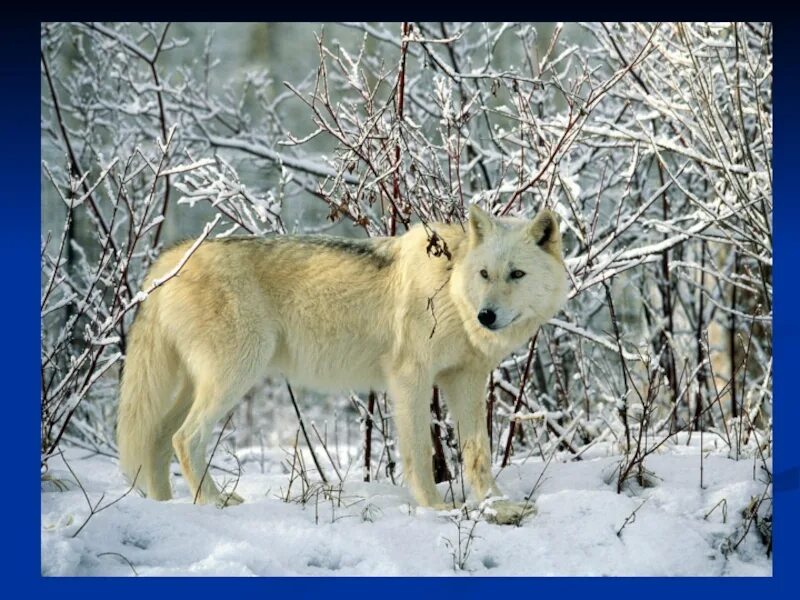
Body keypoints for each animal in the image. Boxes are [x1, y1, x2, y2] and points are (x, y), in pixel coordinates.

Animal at [119, 204, 568, 524]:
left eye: (516, 274)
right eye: (485, 274)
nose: (486, 316)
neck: (452, 291)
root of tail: (172, 257)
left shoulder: (468, 381)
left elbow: (478, 454)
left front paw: (497, 505)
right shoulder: (411, 379)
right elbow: (421, 454)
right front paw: (436, 510)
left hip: (197, 387)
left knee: (158, 438)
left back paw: (165, 506)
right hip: (235, 376)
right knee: (185, 438)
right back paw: (214, 501)